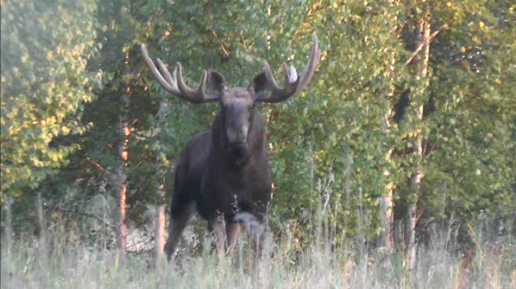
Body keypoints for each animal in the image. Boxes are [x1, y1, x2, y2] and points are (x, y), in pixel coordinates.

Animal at [140, 33, 318, 258]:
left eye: (253, 105)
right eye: (222, 105)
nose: (237, 135)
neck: (239, 176)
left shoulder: (259, 209)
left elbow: (255, 256)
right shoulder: (215, 208)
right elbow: (220, 255)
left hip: (232, 218)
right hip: (180, 198)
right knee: (170, 246)